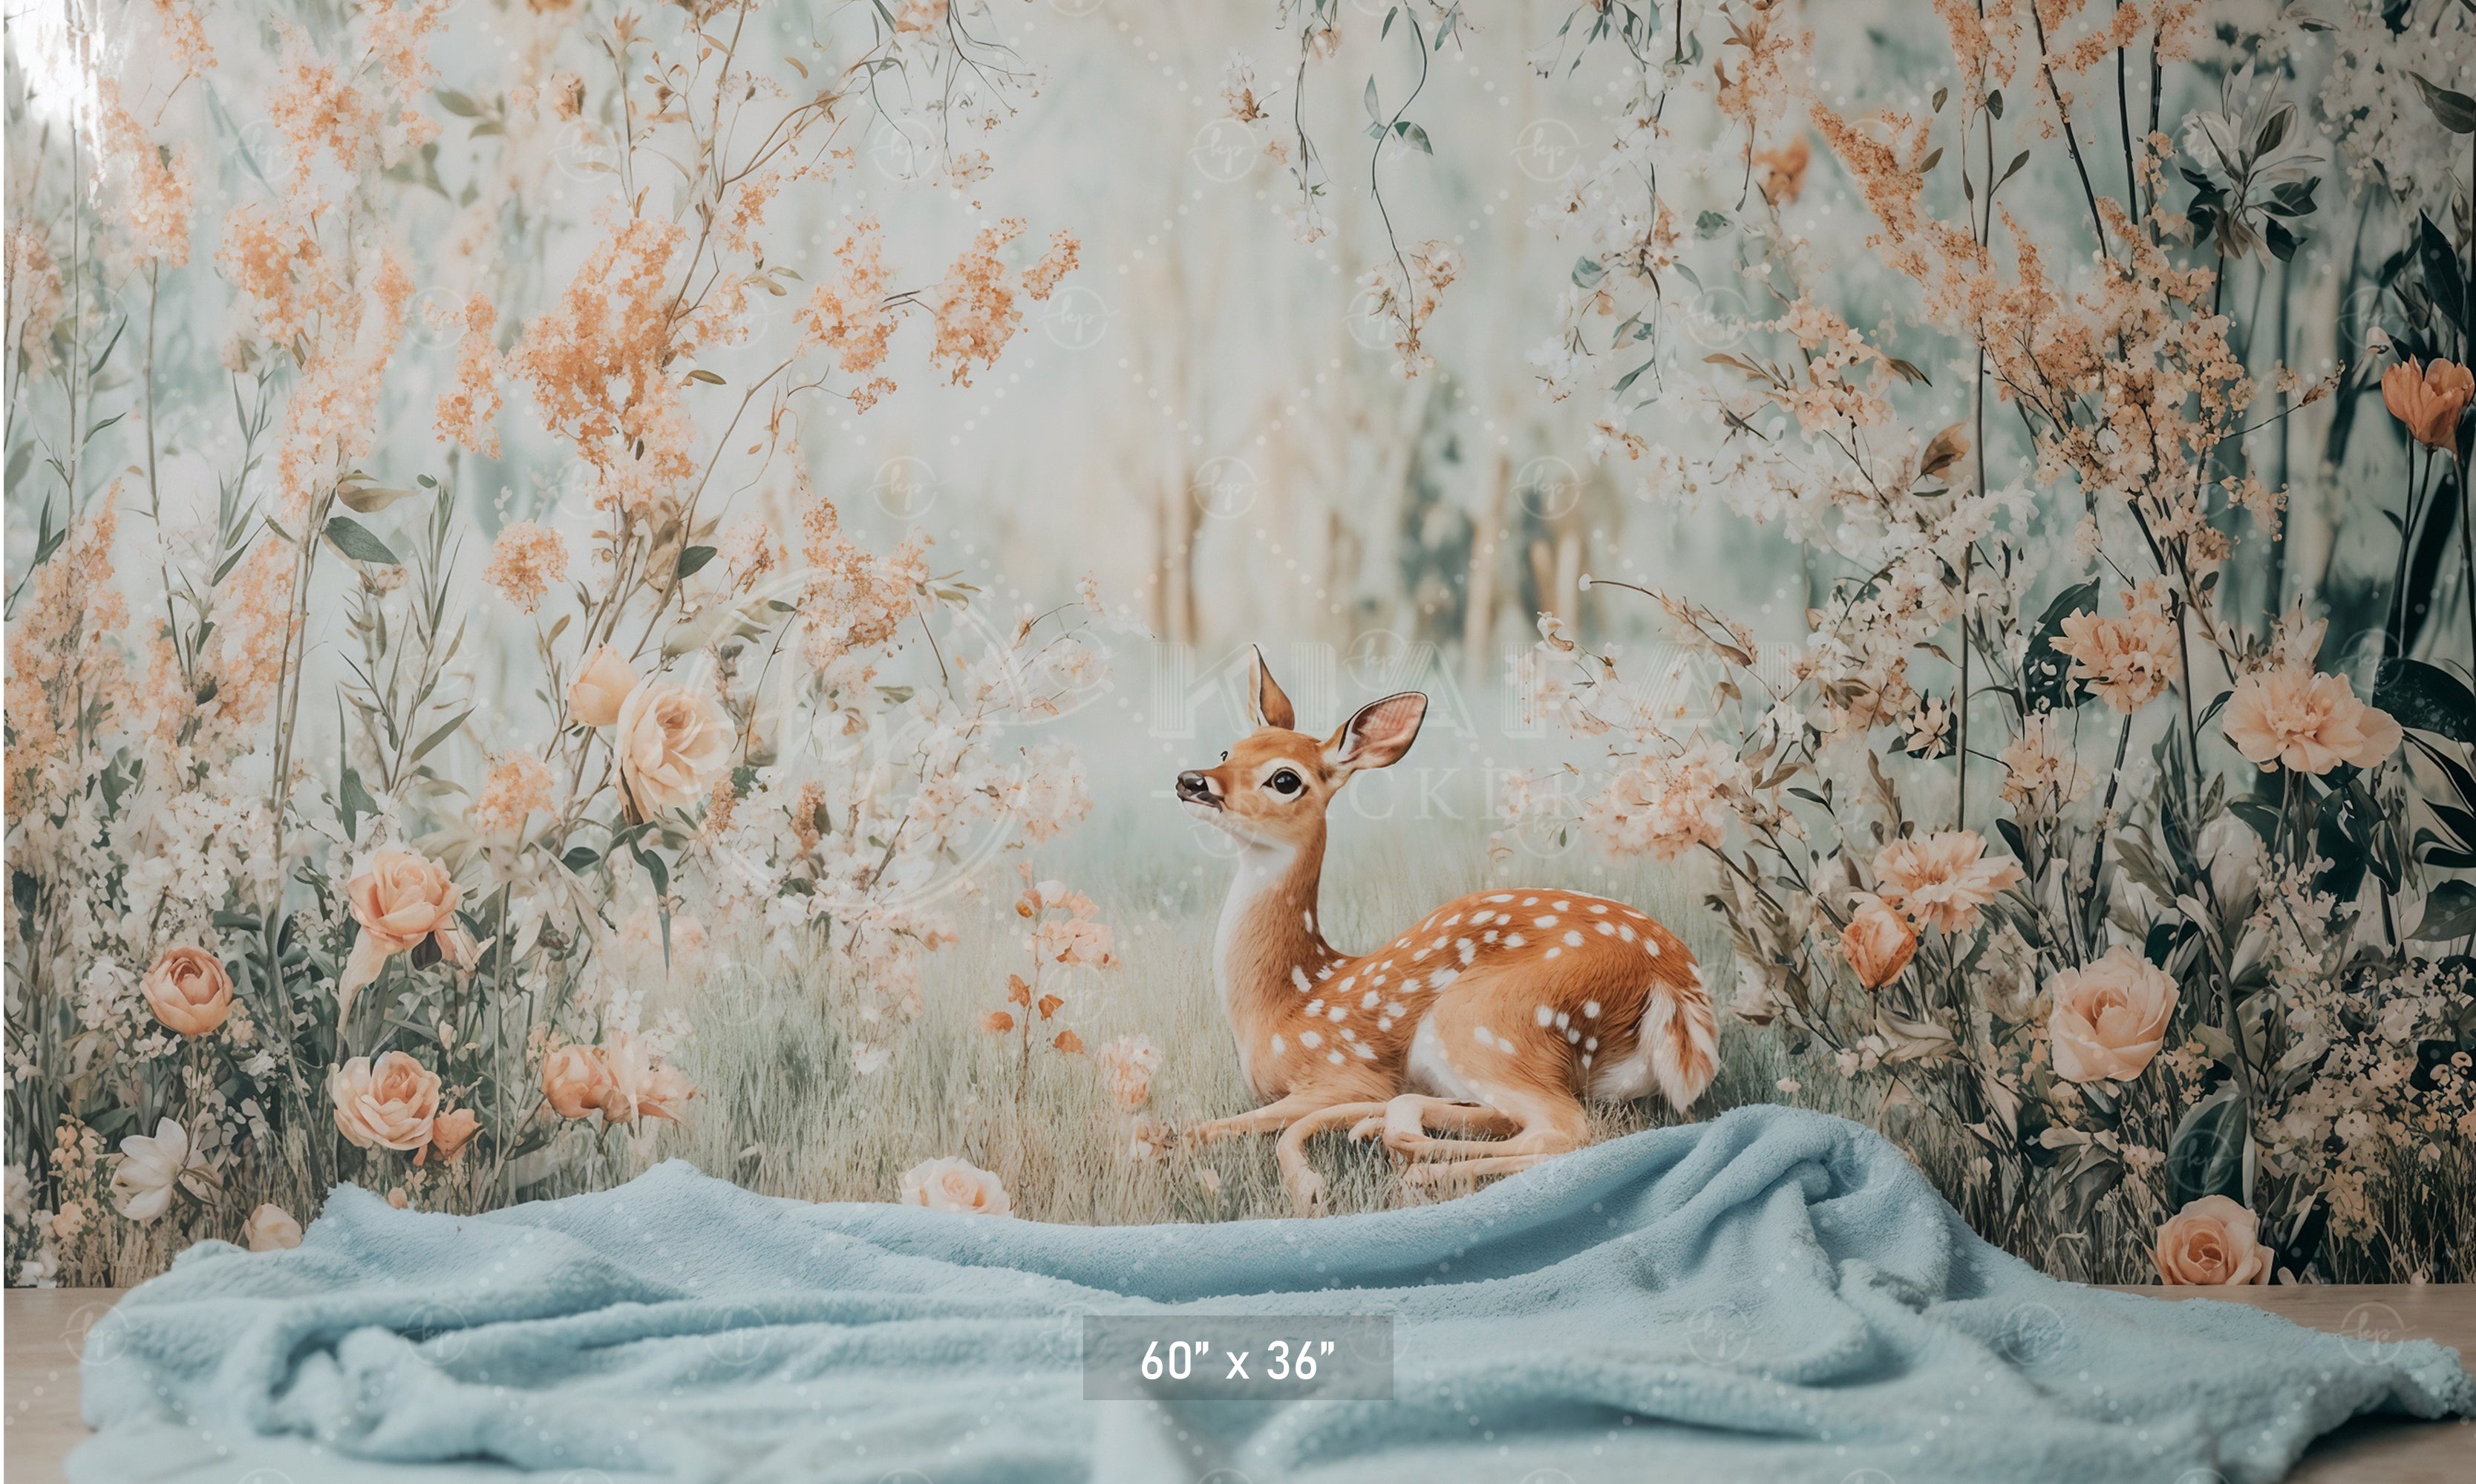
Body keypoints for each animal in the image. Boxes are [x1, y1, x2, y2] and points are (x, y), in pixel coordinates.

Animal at [1174, 647, 1719, 1215]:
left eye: (1284, 779)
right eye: (1228, 749)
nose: (1192, 781)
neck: (1282, 1002)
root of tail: (1673, 984)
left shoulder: (1344, 1073)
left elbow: (1199, 1131)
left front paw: (1305, 1186)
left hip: (1489, 1019)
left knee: (1564, 1130)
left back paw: (1414, 1168)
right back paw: (1380, 1132)